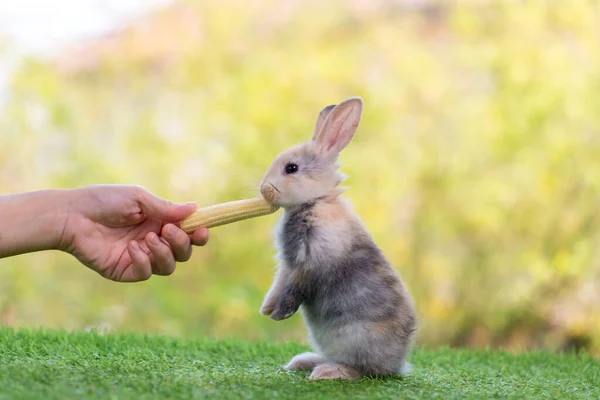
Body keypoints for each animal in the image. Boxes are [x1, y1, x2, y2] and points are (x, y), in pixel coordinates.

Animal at [258, 97, 418, 382]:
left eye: (291, 168)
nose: (264, 189)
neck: (315, 202)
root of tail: (397, 363)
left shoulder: (310, 263)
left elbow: (295, 289)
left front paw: (278, 315)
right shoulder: (287, 266)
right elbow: (279, 285)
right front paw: (266, 308)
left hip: (356, 339)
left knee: (362, 370)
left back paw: (328, 372)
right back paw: (304, 362)